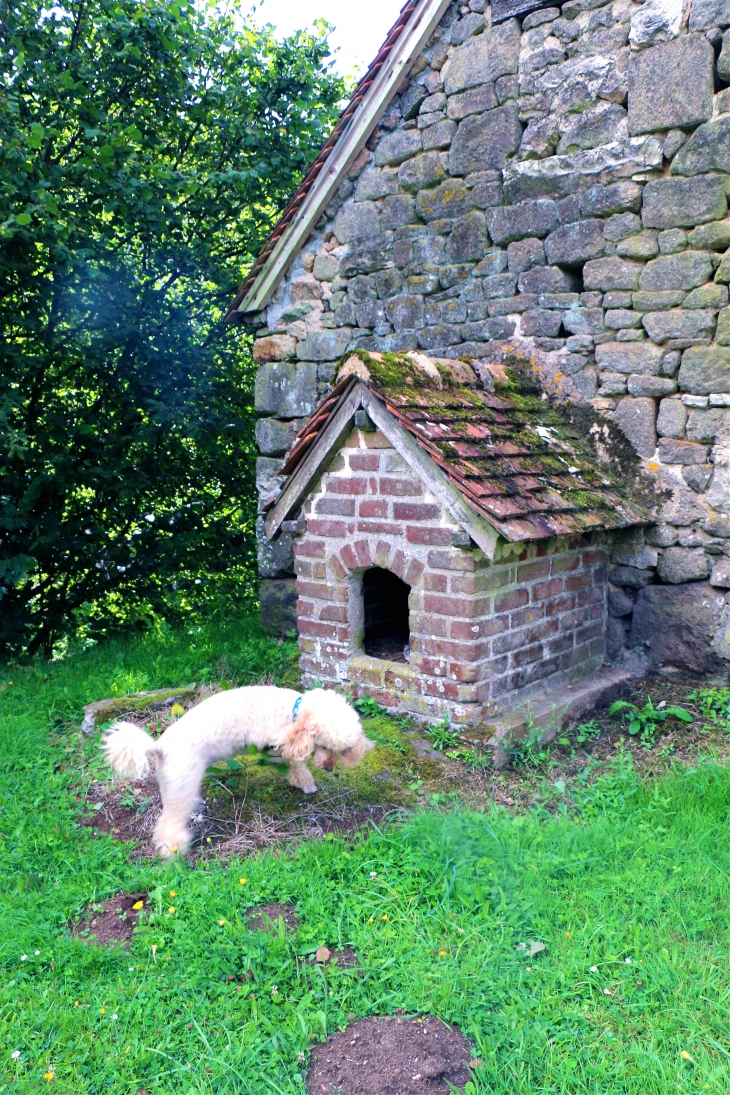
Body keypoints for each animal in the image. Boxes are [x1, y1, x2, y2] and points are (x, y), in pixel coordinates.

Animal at [101, 687, 372, 858]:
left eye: (342, 750)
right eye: (323, 745)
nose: (329, 767)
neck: (292, 710)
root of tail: (159, 746)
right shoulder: (275, 739)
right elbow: (295, 763)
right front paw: (305, 782)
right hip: (182, 784)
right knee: (168, 827)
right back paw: (173, 855)